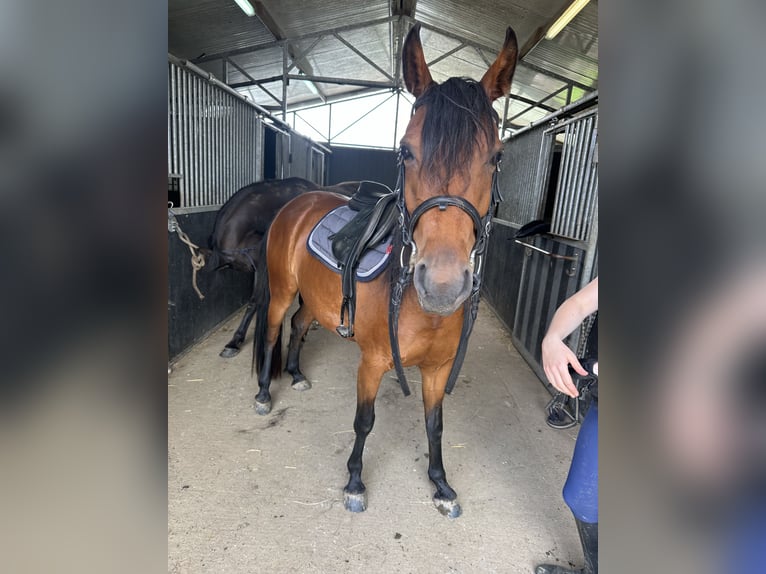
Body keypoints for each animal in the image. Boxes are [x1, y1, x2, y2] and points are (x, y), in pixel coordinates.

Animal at [255, 22, 520, 520]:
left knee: (300, 324)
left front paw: (441, 485)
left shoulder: (437, 369)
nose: (441, 286)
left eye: (496, 157)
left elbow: (435, 425)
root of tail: (299, 202)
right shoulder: (374, 361)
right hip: (281, 291)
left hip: (317, 301)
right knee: (275, 328)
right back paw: (263, 392)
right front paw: (355, 482)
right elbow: (365, 420)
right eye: (406, 151)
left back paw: (296, 375)